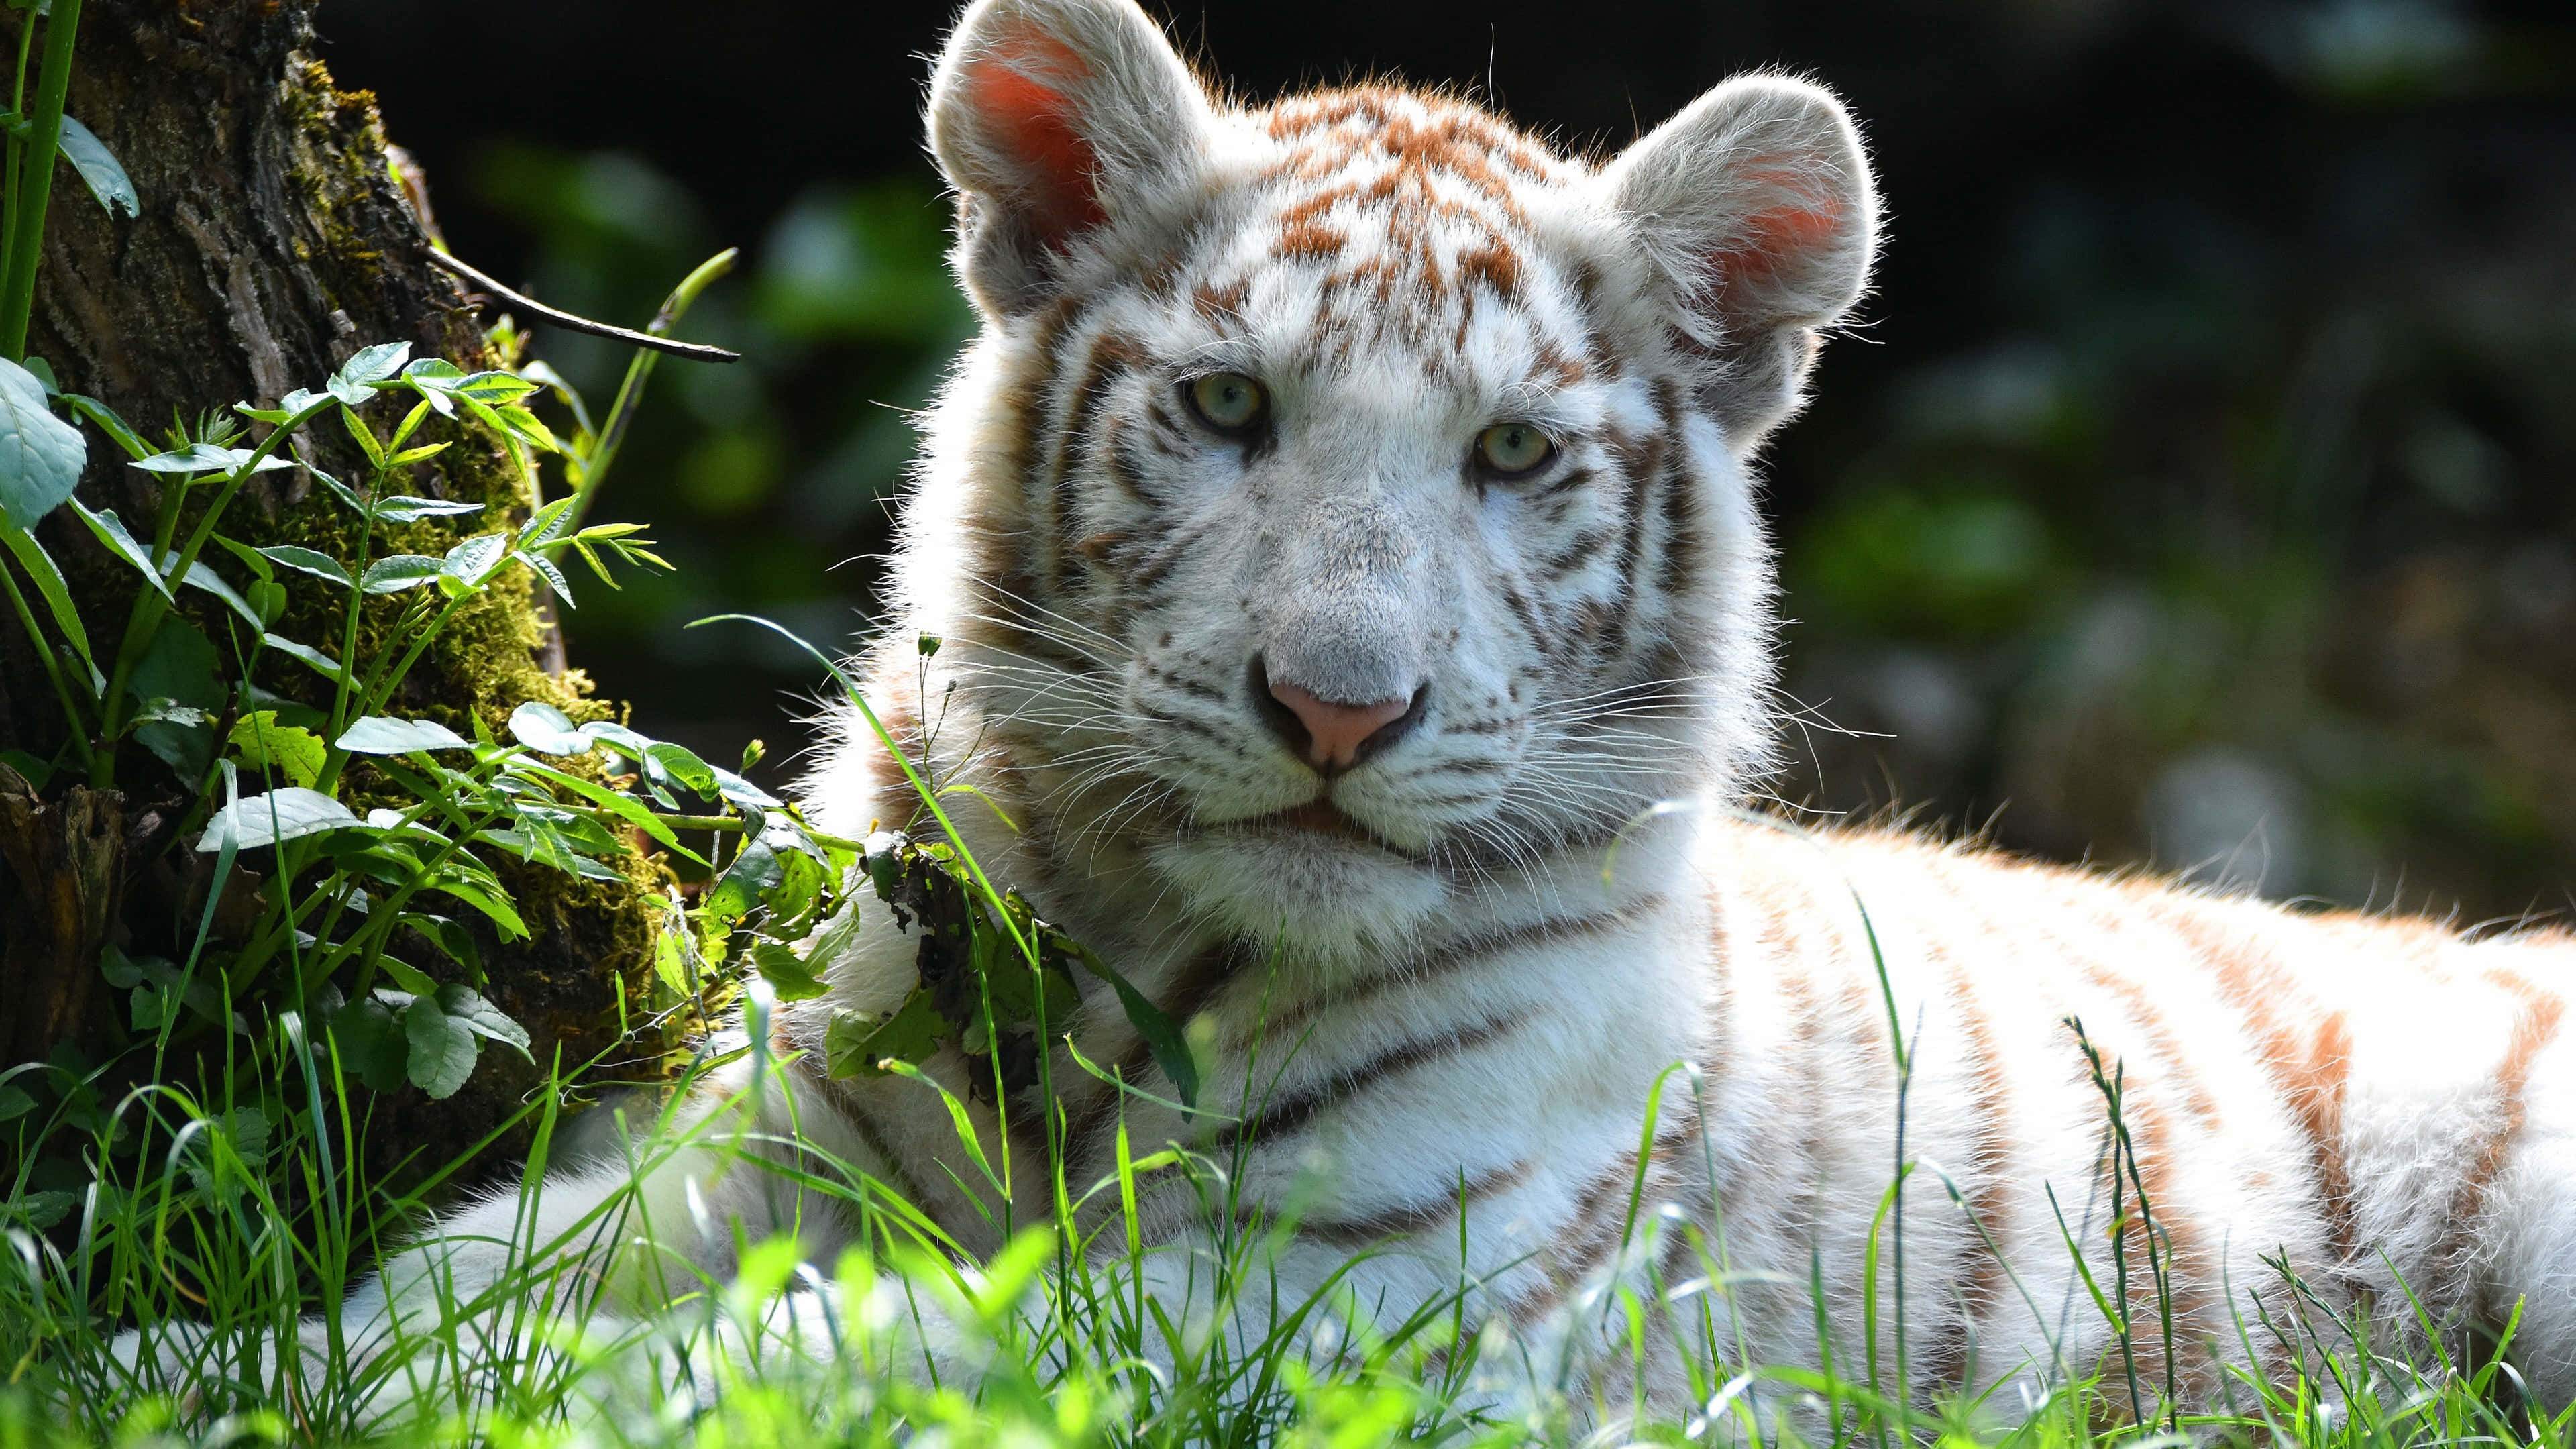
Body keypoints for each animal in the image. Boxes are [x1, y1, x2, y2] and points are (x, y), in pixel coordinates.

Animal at [142, 0, 2576, 1426]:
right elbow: (467, 1281)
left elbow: (860, 1352)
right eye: (1229, 410)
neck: (1127, 976)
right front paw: (188, 1347)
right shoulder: (747, 1152)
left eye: (1510, 456)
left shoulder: (1348, 1308)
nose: (1337, 710)